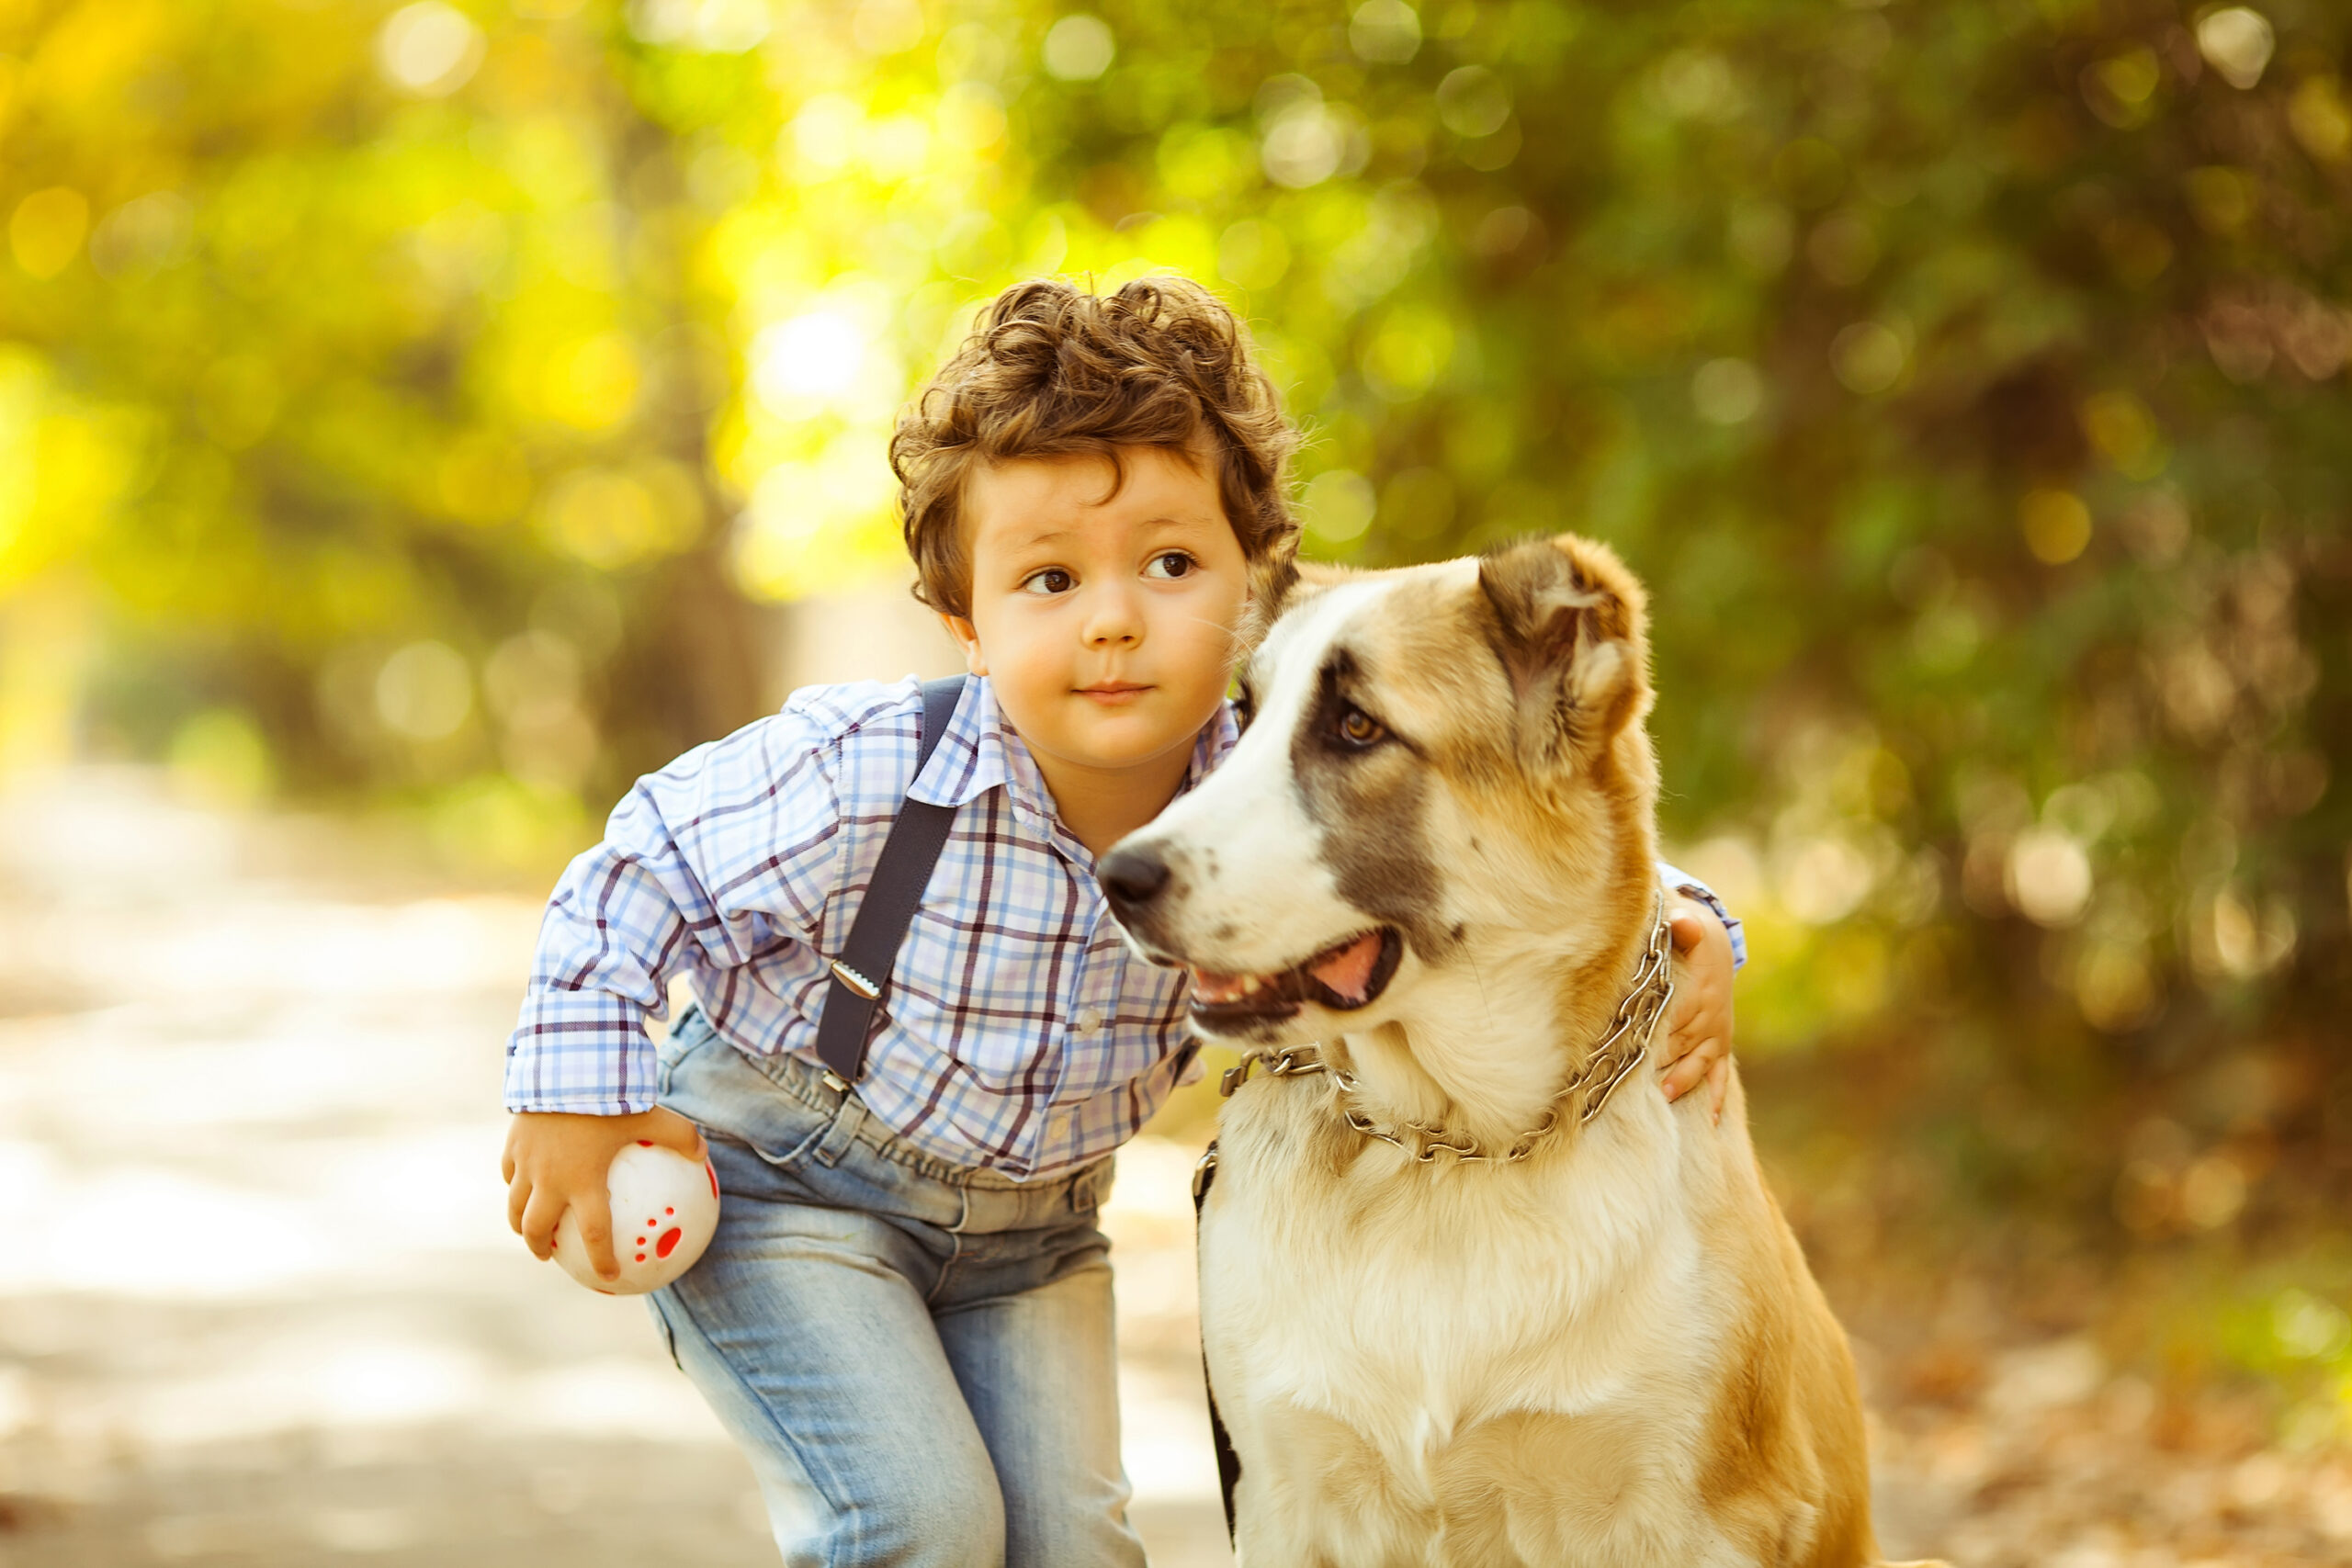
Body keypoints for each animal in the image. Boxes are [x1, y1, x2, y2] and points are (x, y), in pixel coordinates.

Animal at [1091, 540, 1938, 1568]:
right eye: (1242, 719)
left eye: (1357, 726)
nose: (1116, 877)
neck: (1449, 1152)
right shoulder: (1286, 1504)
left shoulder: (1697, 1522)